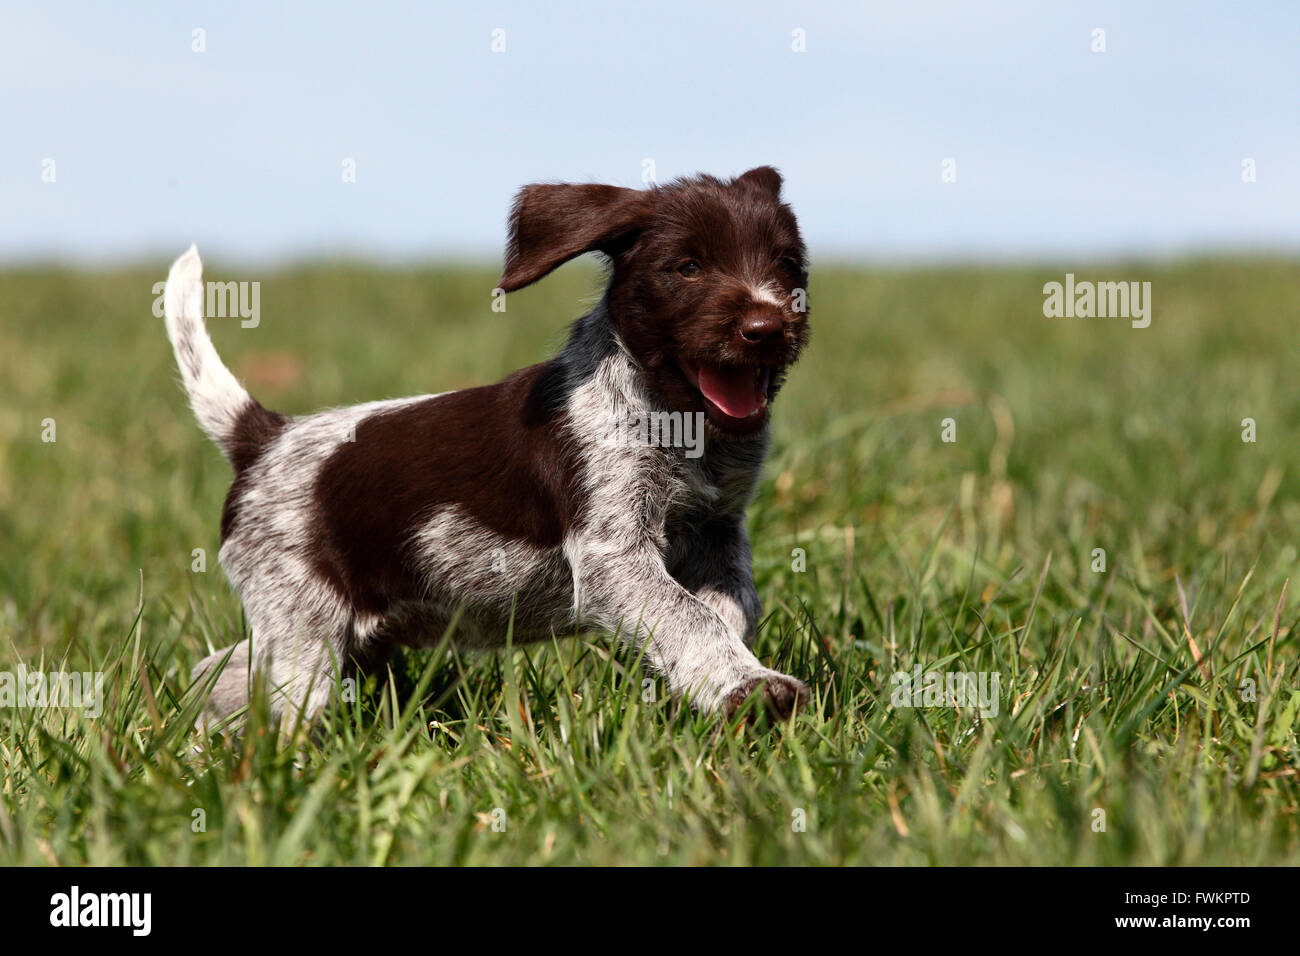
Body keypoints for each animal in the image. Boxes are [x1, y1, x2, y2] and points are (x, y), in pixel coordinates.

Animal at [166, 167, 806, 728]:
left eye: (787, 264)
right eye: (688, 267)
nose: (767, 328)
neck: (681, 421)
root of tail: (265, 436)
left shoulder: (719, 533)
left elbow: (727, 607)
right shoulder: (613, 555)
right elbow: (688, 617)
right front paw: (751, 687)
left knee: (221, 673)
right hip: (303, 629)